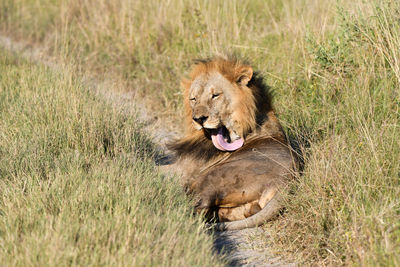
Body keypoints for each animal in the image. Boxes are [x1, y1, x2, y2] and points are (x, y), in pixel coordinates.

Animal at [166, 57, 296, 230]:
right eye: (193, 99)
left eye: (215, 95)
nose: (199, 119)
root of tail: (288, 181)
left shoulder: (185, 169)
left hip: (211, 177)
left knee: (198, 207)